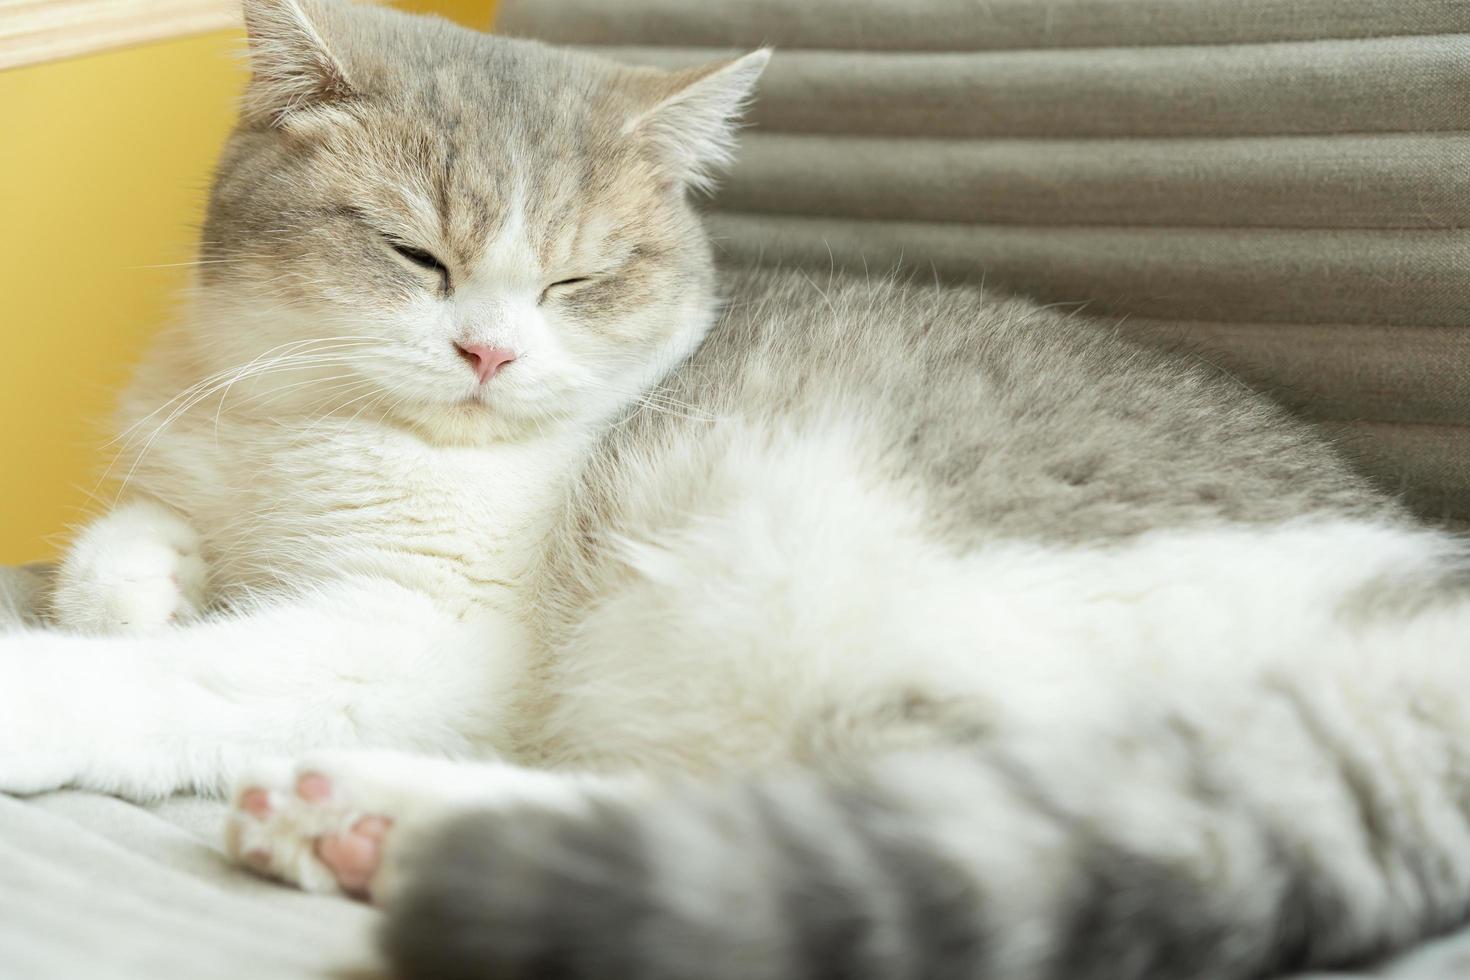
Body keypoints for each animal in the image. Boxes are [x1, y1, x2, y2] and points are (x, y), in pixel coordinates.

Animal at [2, 1, 1470, 980]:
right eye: (414, 254)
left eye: (579, 280)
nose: (489, 352)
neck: (304, 420)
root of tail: (1422, 598)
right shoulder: (195, 460)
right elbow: (126, 549)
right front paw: (137, 583)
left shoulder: (432, 631)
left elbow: (195, 673)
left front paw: (56, 685)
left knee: (857, 823)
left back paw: (366, 813)